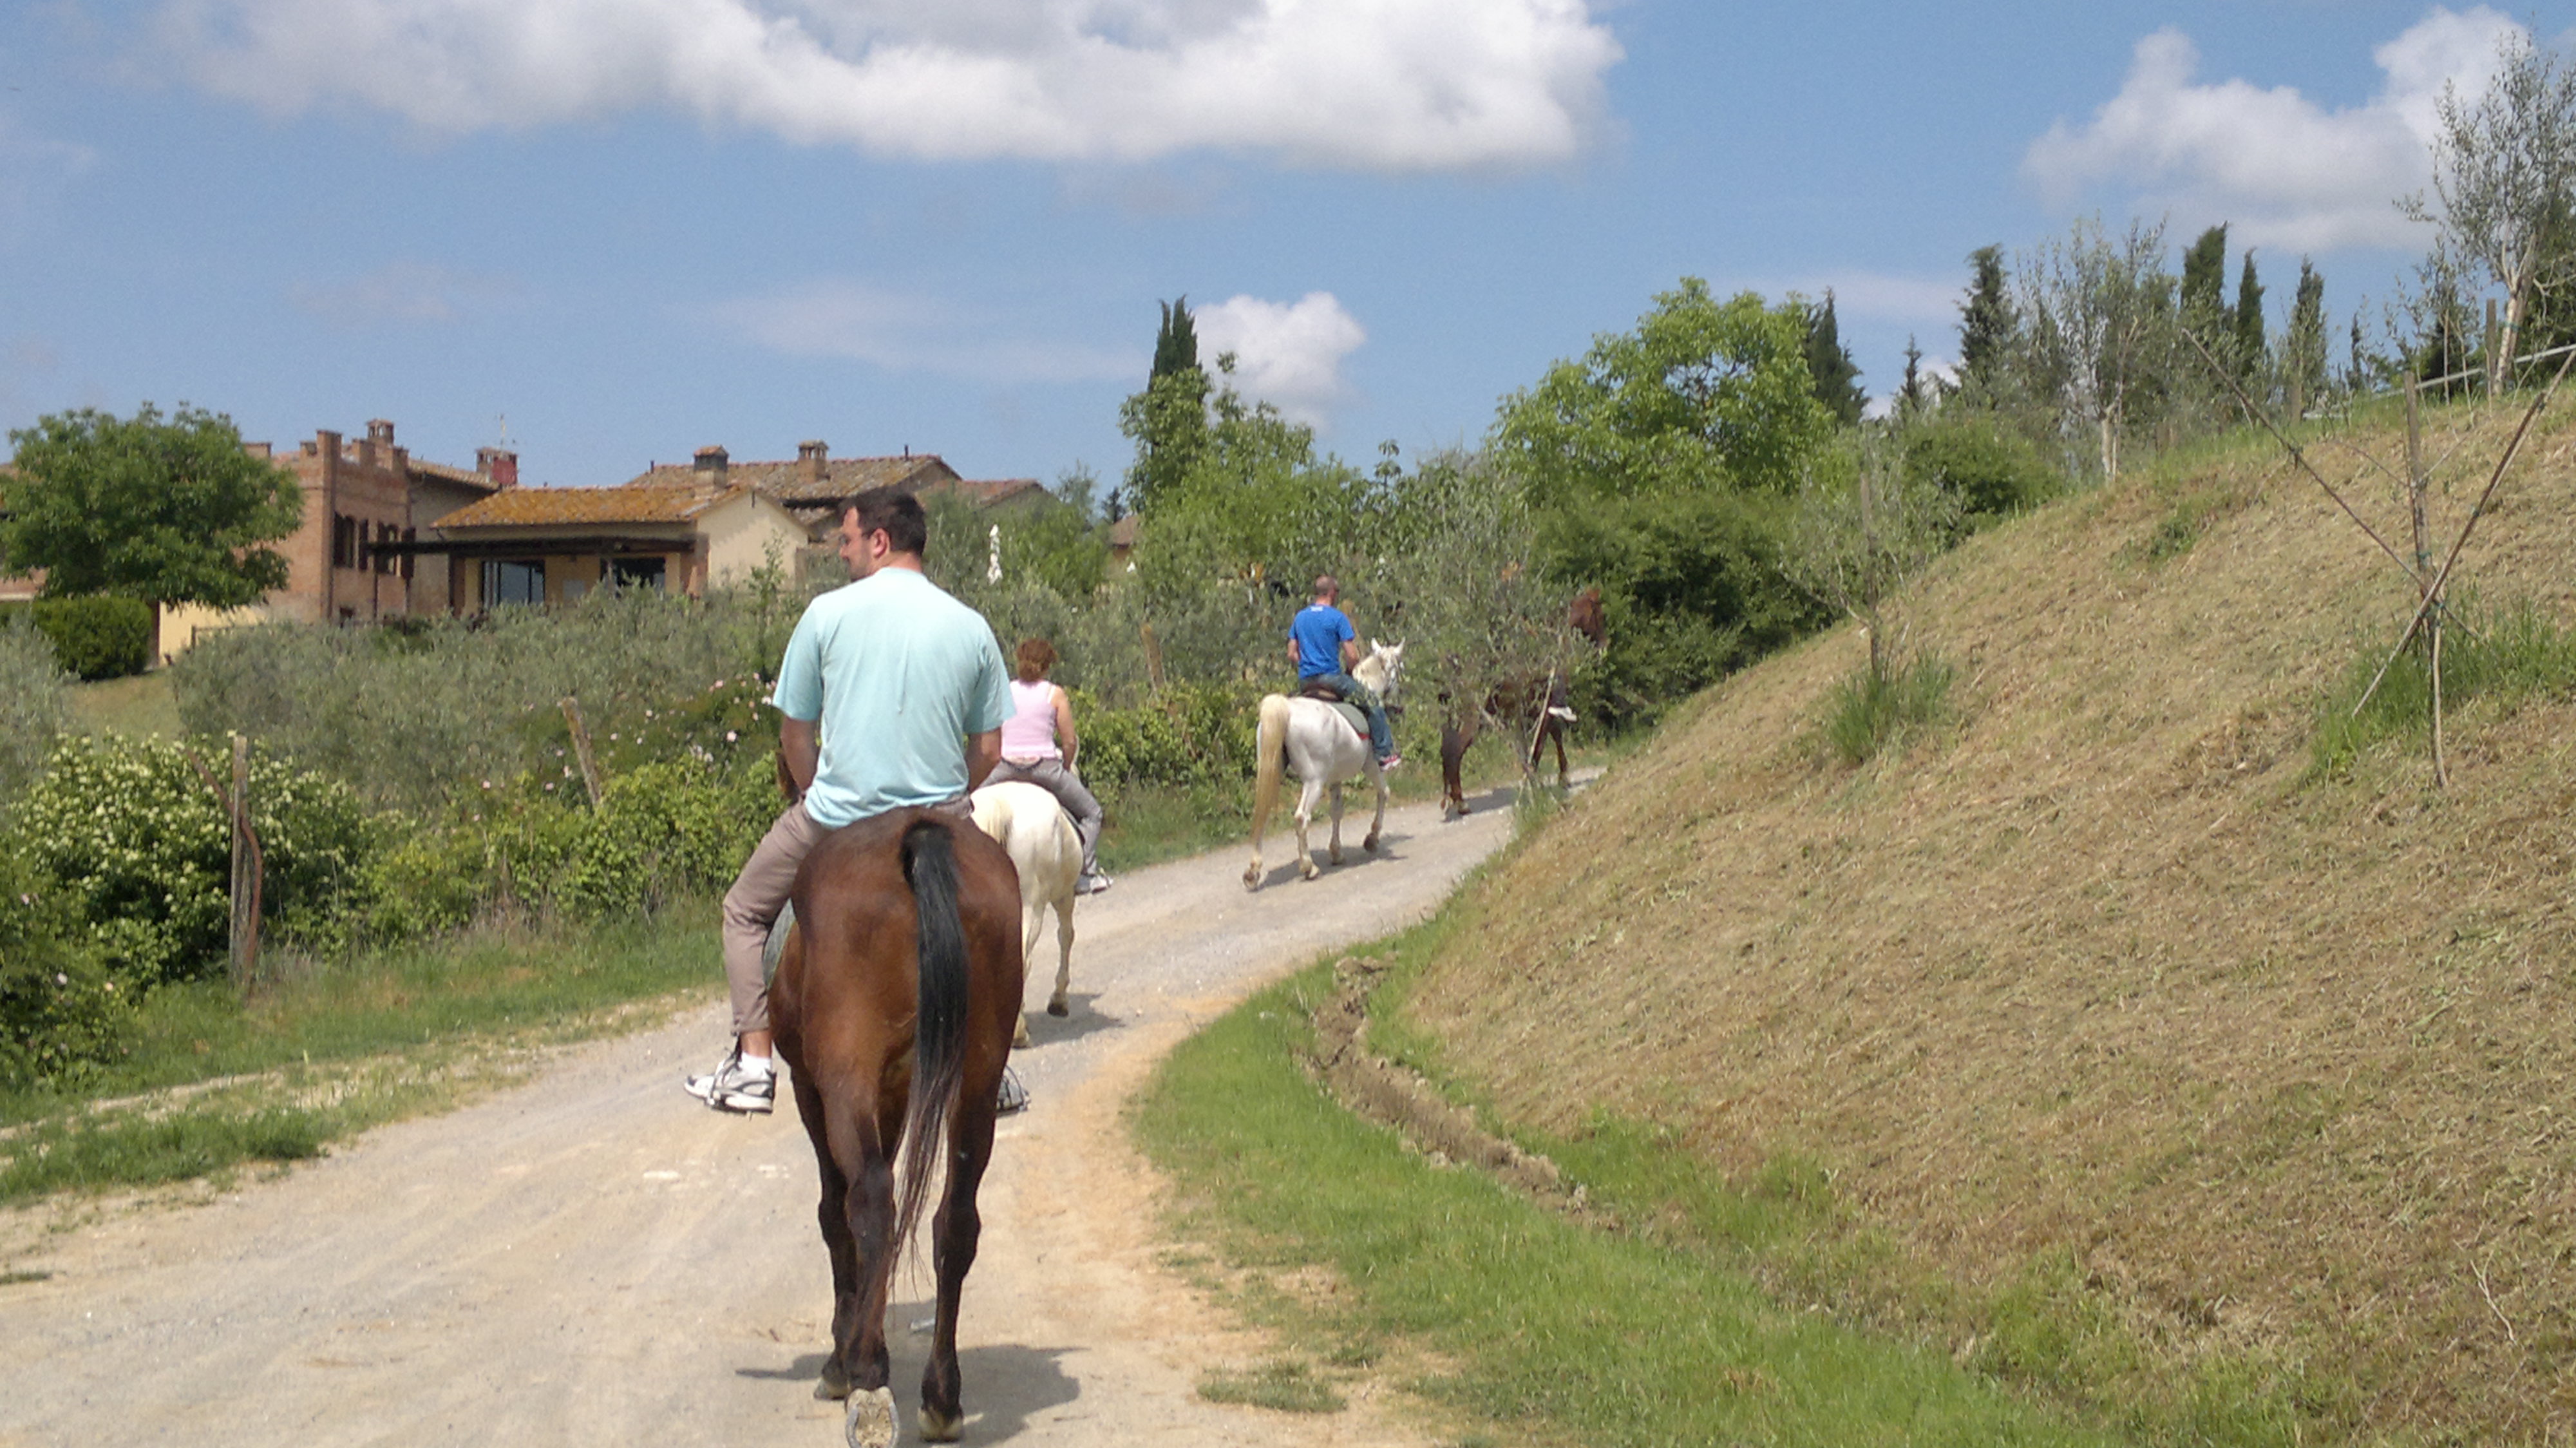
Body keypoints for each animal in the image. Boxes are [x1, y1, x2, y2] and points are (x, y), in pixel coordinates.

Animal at [768, 814, 1020, 1443]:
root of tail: (917, 834)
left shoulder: (813, 1088)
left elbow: (834, 1213)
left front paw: (845, 1356)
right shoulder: (898, 1092)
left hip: (846, 1076)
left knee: (872, 1203)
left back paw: (862, 1373)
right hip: (977, 1082)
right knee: (956, 1221)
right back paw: (942, 1398)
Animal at [969, 773, 1082, 1041]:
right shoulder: (1065, 897)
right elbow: (1066, 936)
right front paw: (1059, 1001)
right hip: (1030, 906)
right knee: (1021, 959)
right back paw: (1018, 1033)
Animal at [1236, 636, 1401, 886]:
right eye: (1398, 667)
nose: (1398, 700)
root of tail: (1288, 709)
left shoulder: (1335, 779)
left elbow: (1337, 811)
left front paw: (1336, 852)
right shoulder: (1372, 766)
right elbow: (1384, 793)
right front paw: (1371, 839)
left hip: (1272, 770)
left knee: (1262, 816)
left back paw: (1253, 872)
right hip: (1314, 781)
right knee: (1301, 818)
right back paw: (1309, 868)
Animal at [1443, 582, 1597, 814]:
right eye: (1599, 612)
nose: (1603, 642)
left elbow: (1547, 739)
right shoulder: (1547, 707)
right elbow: (1544, 742)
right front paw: (1550, 779)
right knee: (1455, 750)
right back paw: (1460, 802)